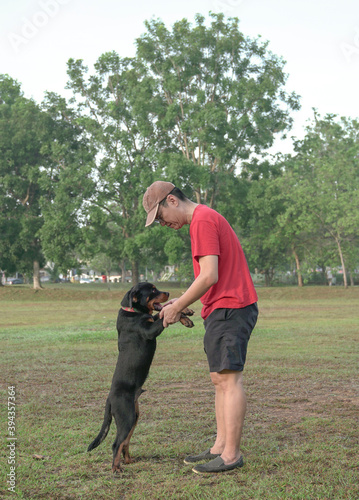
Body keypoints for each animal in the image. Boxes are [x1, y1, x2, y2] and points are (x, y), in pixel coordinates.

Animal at [87, 282, 194, 472]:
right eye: (152, 290)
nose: (168, 292)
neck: (133, 311)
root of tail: (109, 399)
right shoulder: (150, 330)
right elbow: (164, 316)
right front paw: (183, 314)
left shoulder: (152, 319)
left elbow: (164, 311)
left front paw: (186, 313)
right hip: (126, 416)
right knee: (116, 443)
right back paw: (116, 468)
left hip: (134, 417)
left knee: (125, 442)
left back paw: (128, 461)